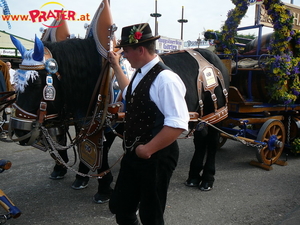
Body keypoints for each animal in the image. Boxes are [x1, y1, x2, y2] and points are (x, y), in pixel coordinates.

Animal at [9, 35, 230, 200]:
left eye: (37, 83)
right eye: (16, 81)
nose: (18, 128)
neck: (101, 81)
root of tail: (211, 56)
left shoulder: (107, 124)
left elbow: (101, 150)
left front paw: (103, 187)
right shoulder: (91, 121)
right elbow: (90, 147)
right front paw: (88, 178)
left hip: (217, 114)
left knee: (211, 142)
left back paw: (207, 178)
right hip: (200, 117)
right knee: (201, 140)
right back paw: (193, 175)